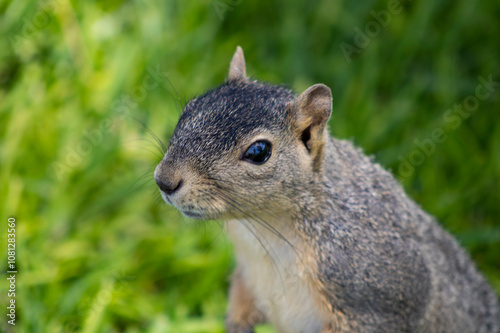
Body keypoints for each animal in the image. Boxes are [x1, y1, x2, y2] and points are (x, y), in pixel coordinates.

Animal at [153, 47, 500, 332]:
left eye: (259, 151)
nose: (165, 180)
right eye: (190, 108)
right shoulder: (246, 272)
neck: (267, 228)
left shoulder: (375, 294)